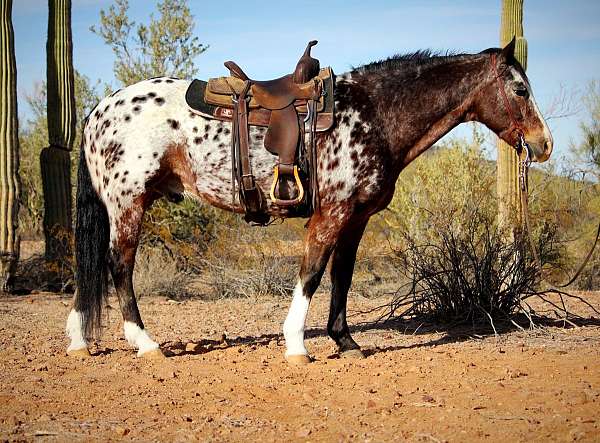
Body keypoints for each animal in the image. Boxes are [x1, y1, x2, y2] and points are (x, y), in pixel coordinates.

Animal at [67, 39, 552, 364]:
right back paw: (145, 344)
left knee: (92, 267)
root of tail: (97, 111)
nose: (544, 144)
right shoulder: (330, 214)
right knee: (119, 266)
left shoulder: (356, 219)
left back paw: (78, 340)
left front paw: (346, 341)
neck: (373, 115)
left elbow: (342, 277)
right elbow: (312, 274)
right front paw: (297, 345)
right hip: (128, 204)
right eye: (520, 89)